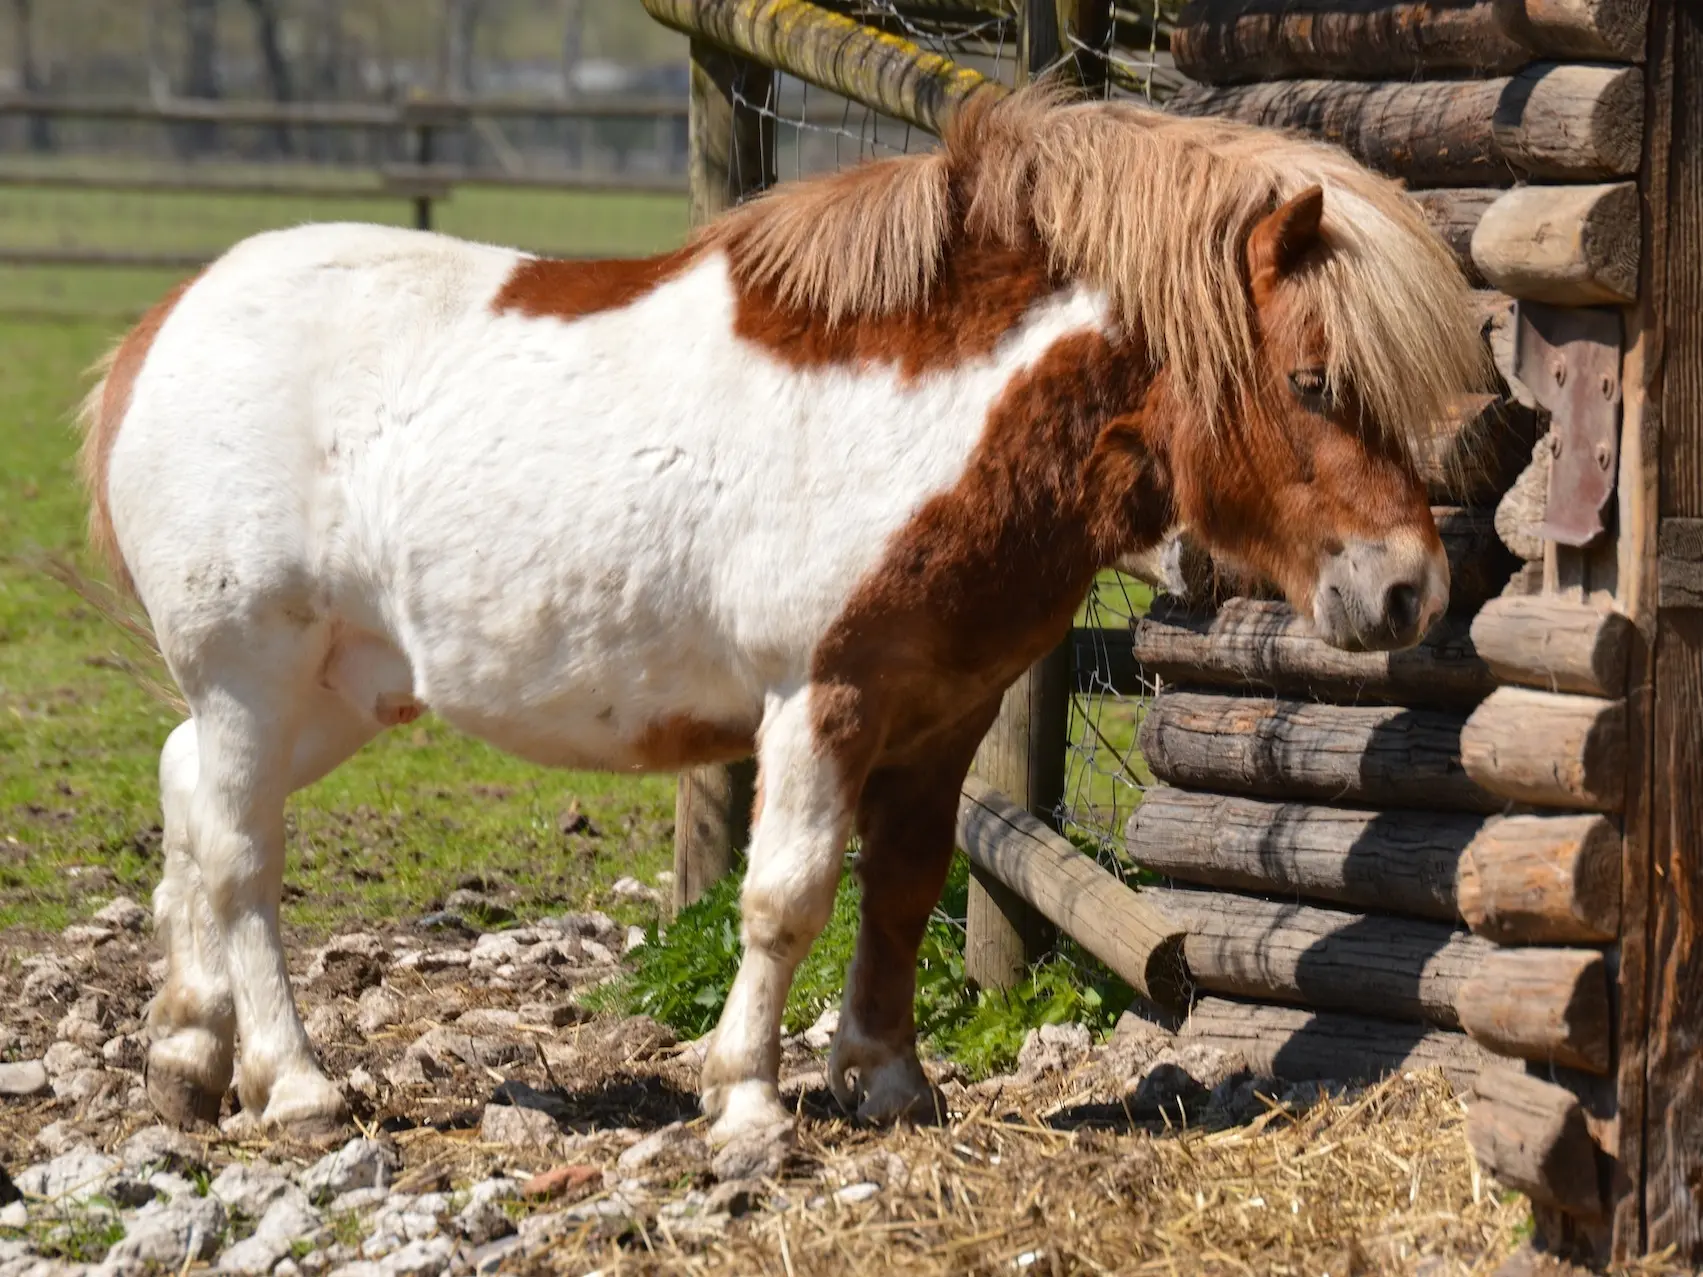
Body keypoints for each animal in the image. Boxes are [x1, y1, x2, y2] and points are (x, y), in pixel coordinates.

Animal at [80, 87, 1485, 1151]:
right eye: (1312, 380)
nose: (1407, 588)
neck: (935, 420)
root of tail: (162, 328)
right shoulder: (823, 699)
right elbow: (788, 894)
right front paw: (748, 1102)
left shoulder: (944, 713)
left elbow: (903, 888)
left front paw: (890, 1080)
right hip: (253, 673)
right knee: (243, 856)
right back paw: (295, 1083)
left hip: (340, 688)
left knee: (191, 797)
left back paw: (190, 1055)